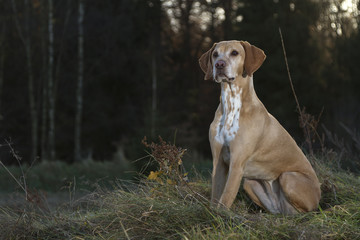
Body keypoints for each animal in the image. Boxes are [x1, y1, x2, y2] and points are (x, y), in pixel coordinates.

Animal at [200, 40, 320, 215]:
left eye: (234, 53)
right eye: (215, 54)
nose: (219, 64)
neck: (231, 104)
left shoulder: (237, 164)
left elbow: (225, 198)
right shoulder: (218, 162)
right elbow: (215, 197)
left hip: (288, 177)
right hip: (250, 183)